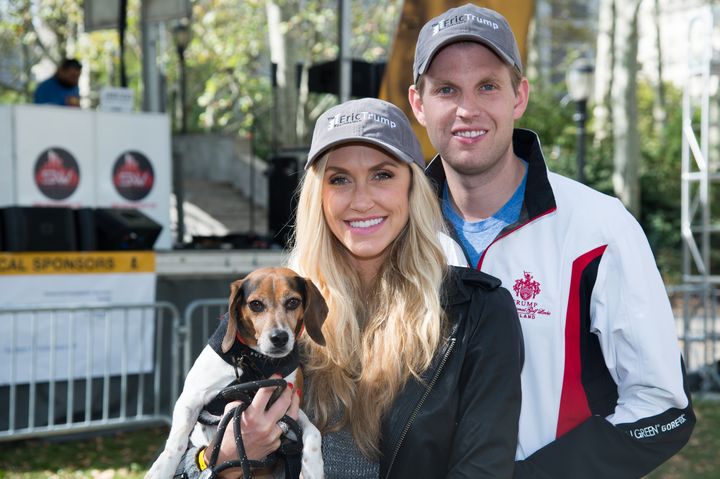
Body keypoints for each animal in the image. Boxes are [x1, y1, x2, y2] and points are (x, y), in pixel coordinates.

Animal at [148, 268, 328, 478]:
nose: (279, 338)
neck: (255, 361)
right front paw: (162, 469)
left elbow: (313, 432)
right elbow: (177, 440)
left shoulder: (289, 407)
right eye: (256, 304)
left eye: (293, 301)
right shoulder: (190, 399)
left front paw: (313, 467)